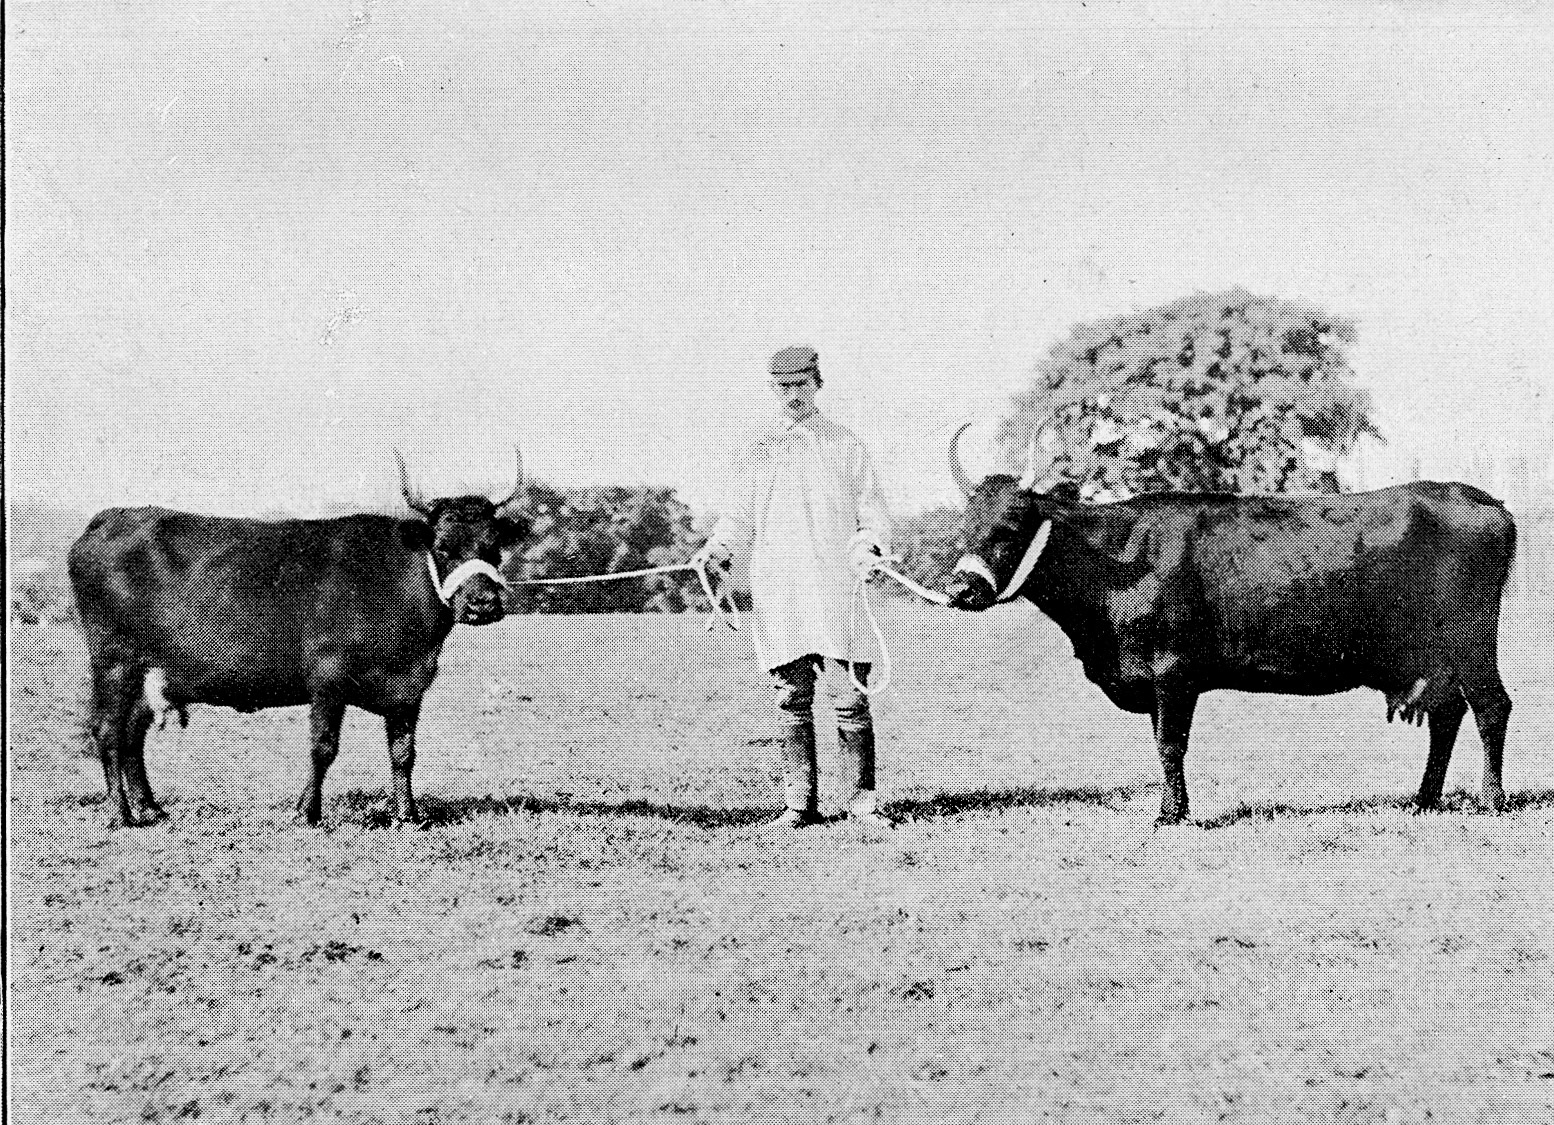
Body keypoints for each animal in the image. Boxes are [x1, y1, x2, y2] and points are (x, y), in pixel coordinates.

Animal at [67, 451, 531, 828]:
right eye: (444, 547)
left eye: (493, 547)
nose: (483, 604)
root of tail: (109, 518)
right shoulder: (328, 677)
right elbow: (323, 747)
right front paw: (307, 812)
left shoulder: (409, 686)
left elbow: (404, 753)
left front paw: (408, 816)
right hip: (114, 662)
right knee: (107, 731)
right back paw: (121, 815)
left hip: (149, 673)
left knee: (133, 733)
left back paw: (150, 808)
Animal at [942, 425, 1517, 824]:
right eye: (963, 522)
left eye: (1010, 525)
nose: (961, 589)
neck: (1114, 560)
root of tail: (1482, 499)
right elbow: (1162, 741)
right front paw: (1174, 808)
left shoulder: (1172, 670)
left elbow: (1170, 744)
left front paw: (1171, 815)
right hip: (1434, 655)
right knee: (1447, 713)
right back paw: (1423, 800)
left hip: (1470, 639)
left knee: (1490, 706)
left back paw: (1490, 801)